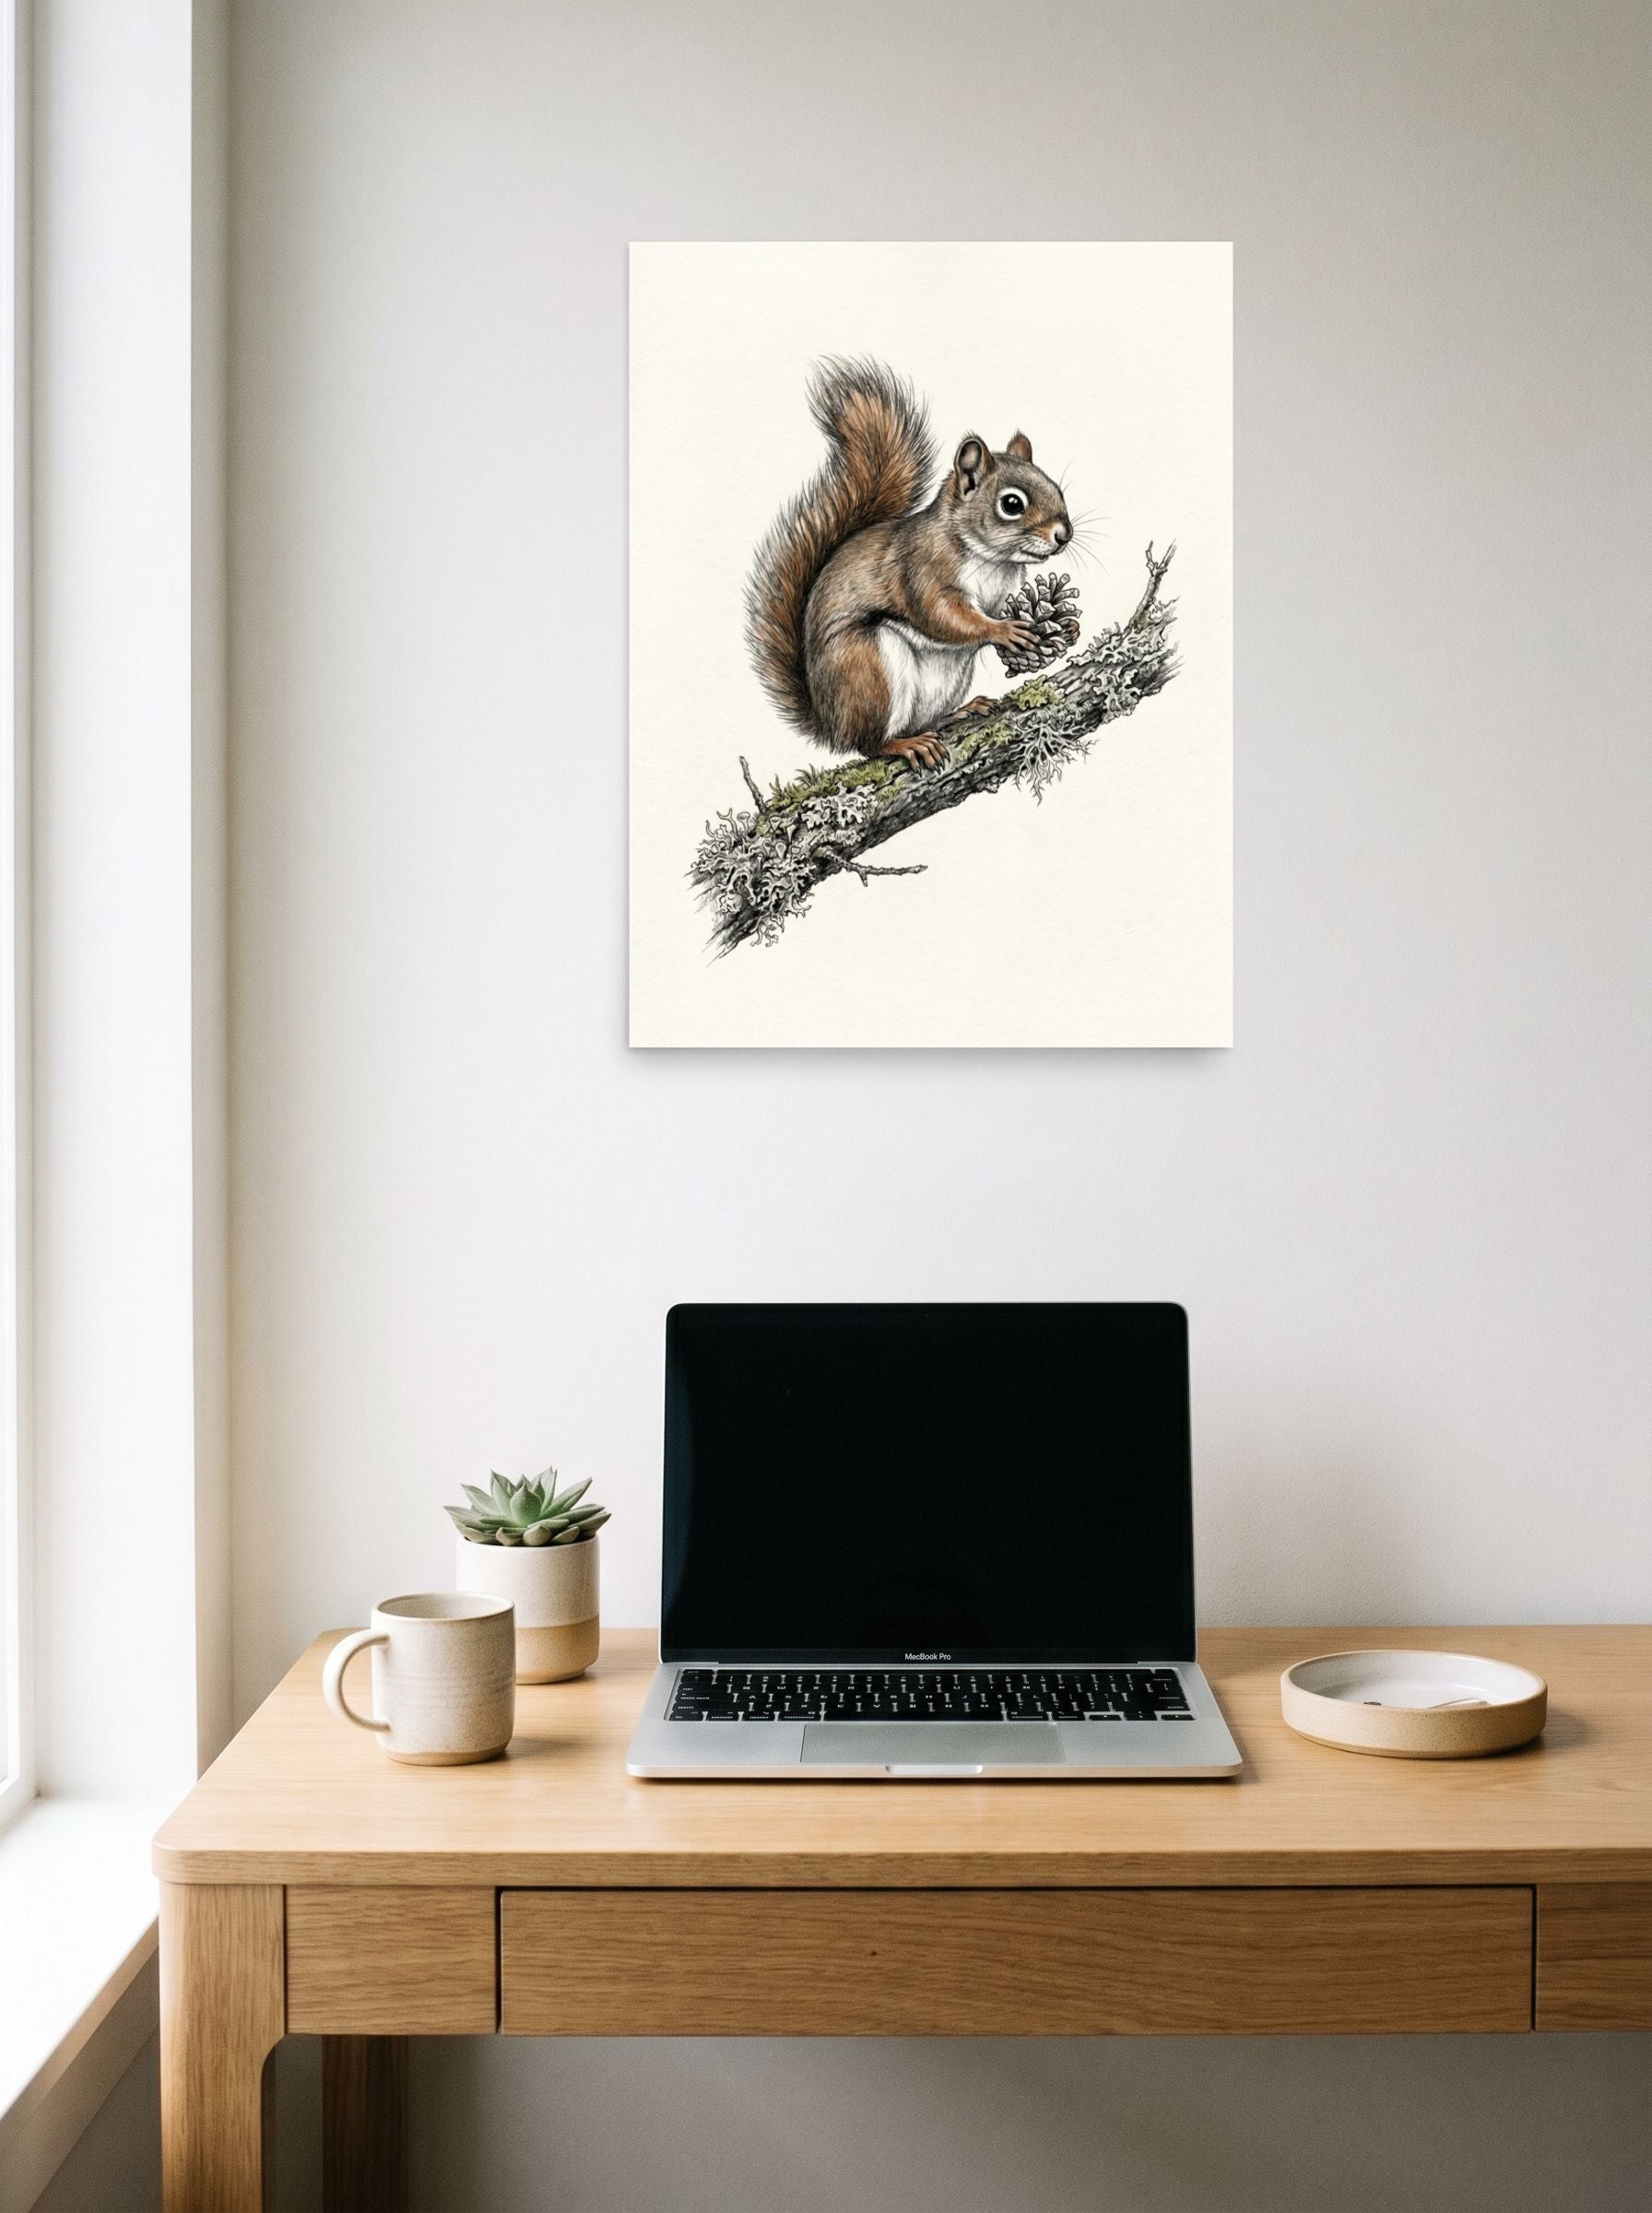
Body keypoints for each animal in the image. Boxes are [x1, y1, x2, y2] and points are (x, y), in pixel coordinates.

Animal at [745, 357, 1073, 769]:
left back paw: (961, 711)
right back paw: (905, 744)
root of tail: (830, 724)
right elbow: (943, 616)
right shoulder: (921, 570)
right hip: (869, 668)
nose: (1064, 534)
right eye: (1012, 504)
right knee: (868, 743)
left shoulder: (1000, 594)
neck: (993, 561)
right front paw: (1004, 631)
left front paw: (1068, 626)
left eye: (1056, 488)